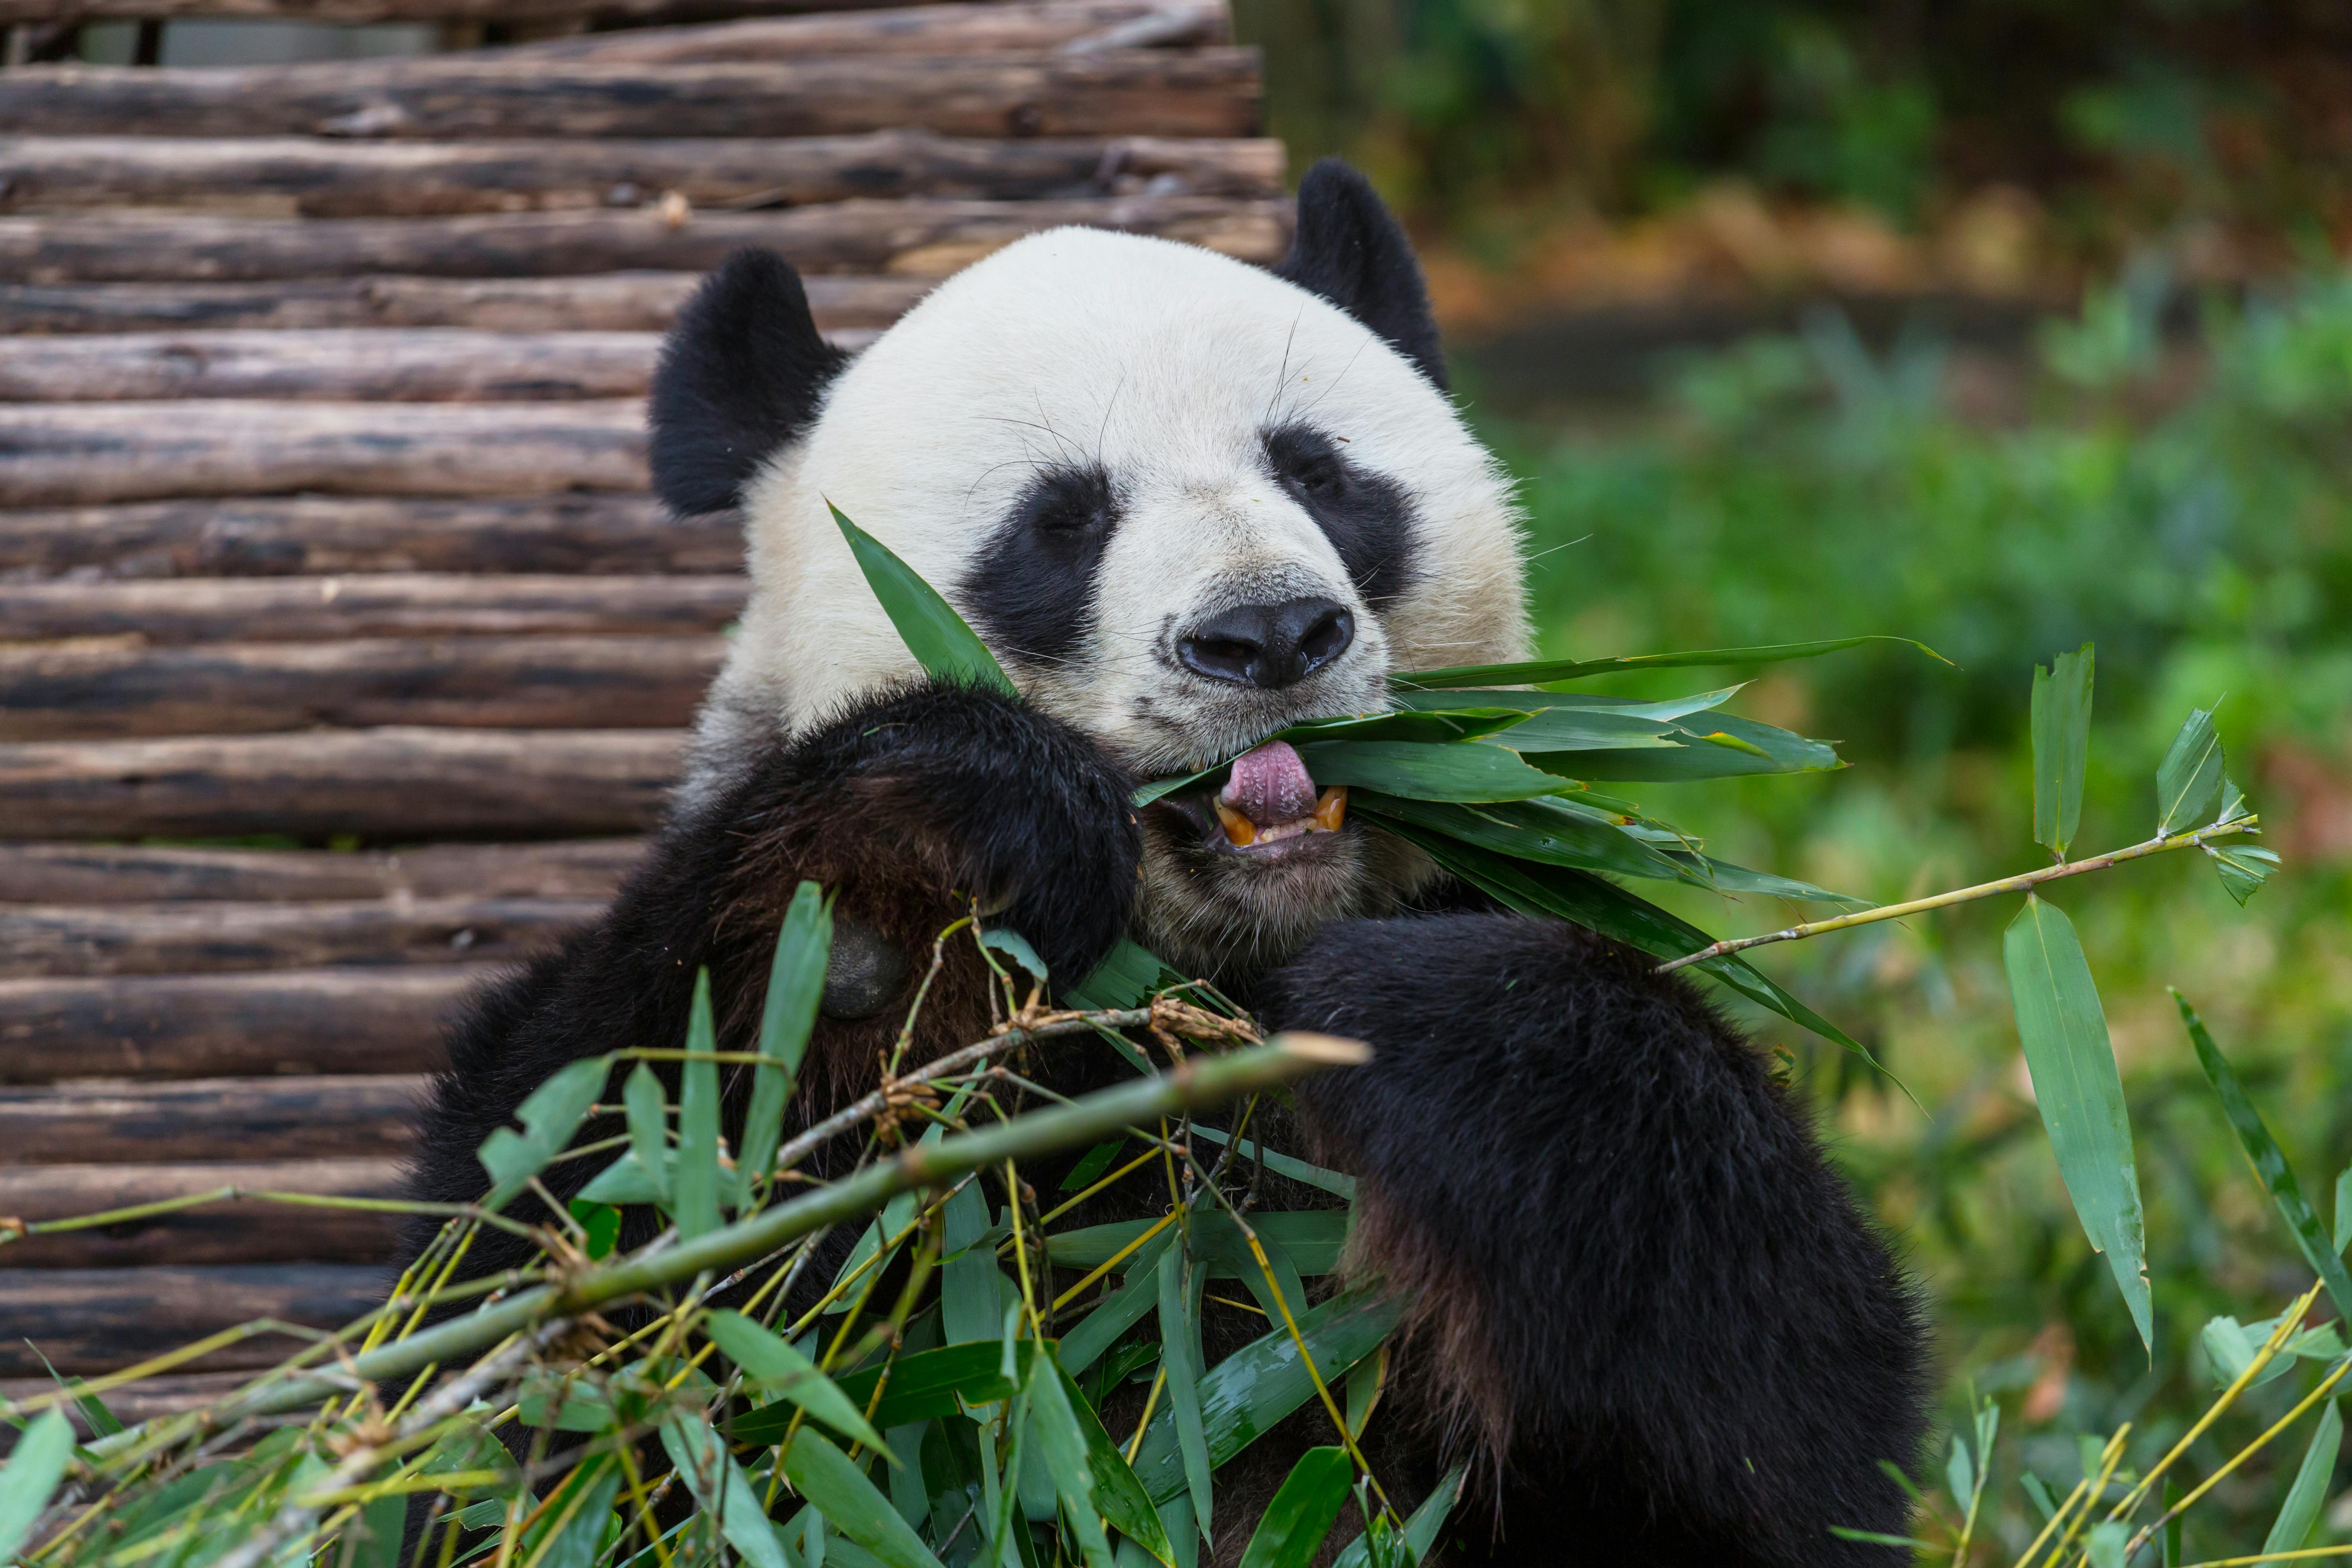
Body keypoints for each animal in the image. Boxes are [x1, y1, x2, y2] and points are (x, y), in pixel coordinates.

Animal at [402, 161, 1927, 1567]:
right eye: (1062, 521)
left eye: (1320, 474)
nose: (1270, 635)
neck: (1210, 979)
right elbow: (581, 1304)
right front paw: (920, 883)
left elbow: (1782, 1422)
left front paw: (1432, 1016)